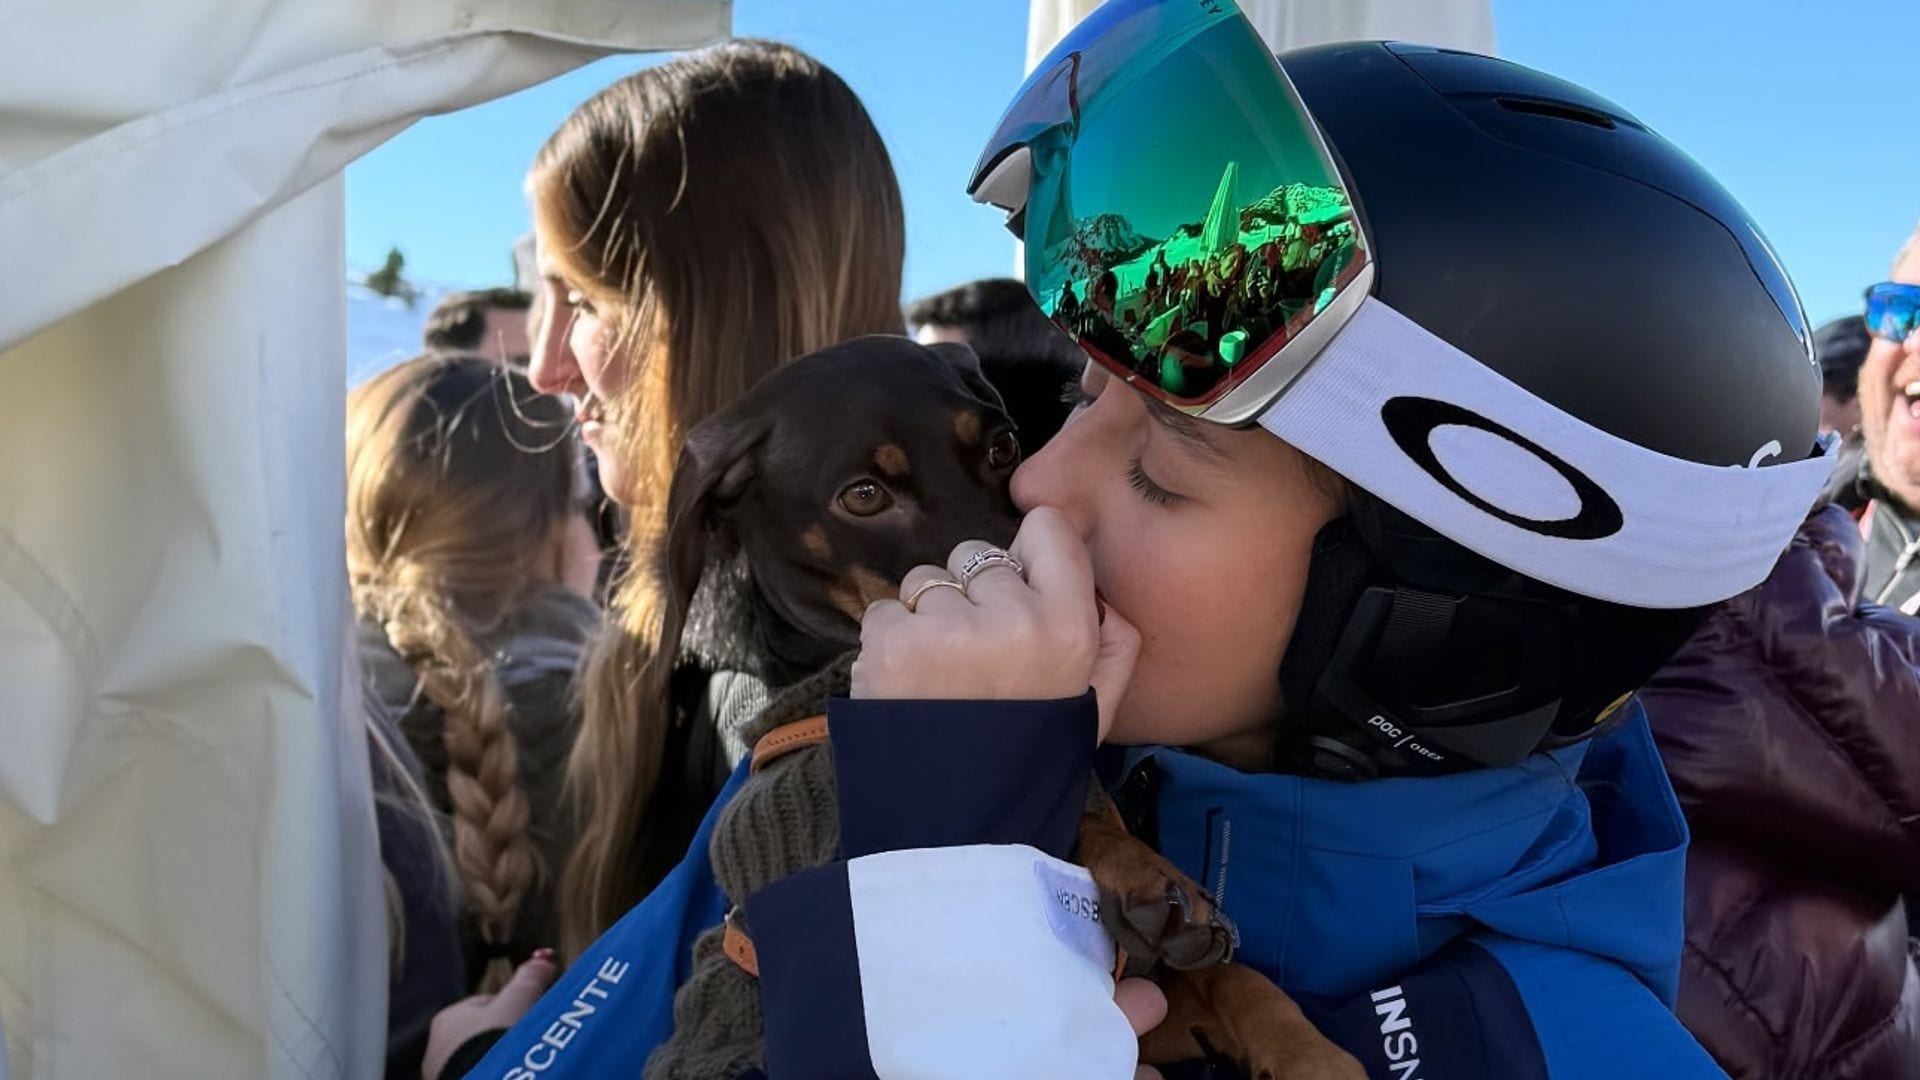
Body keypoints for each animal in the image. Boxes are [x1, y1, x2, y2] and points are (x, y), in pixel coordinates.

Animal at [637, 336, 1359, 1076]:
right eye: (863, 496)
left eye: (1003, 445)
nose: (1091, 610)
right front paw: (1143, 874)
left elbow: (1238, 982)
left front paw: (1310, 1053)